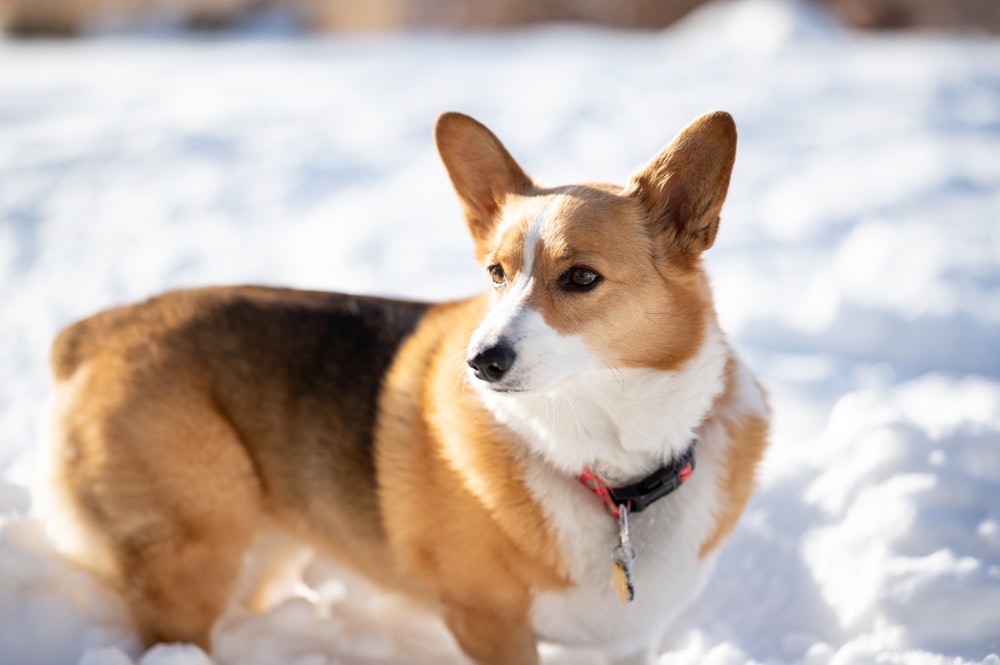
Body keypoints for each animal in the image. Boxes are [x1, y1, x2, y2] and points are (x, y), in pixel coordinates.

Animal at [43, 110, 768, 664]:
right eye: (496, 273)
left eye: (582, 278)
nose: (480, 362)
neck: (612, 467)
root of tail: (95, 329)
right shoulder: (491, 626)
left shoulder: (627, 643)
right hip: (197, 552)